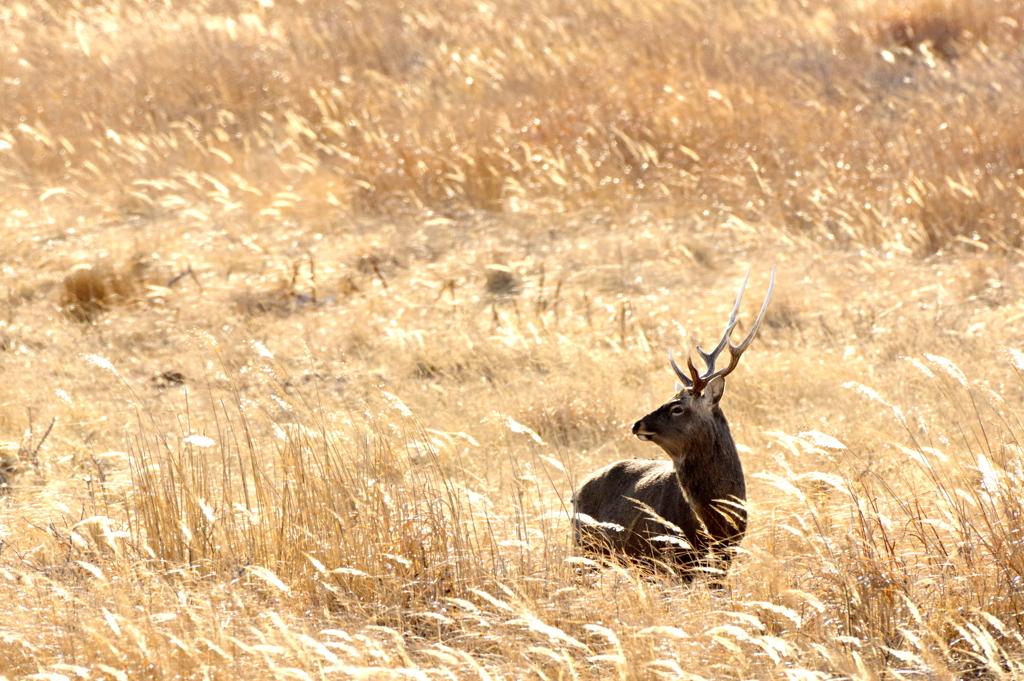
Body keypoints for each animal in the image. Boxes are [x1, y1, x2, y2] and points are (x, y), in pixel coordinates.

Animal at [573, 268, 770, 581]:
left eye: (677, 407)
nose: (637, 424)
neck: (713, 523)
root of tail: (577, 490)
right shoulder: (674, 556)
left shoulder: (726, 556)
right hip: (588, 548)